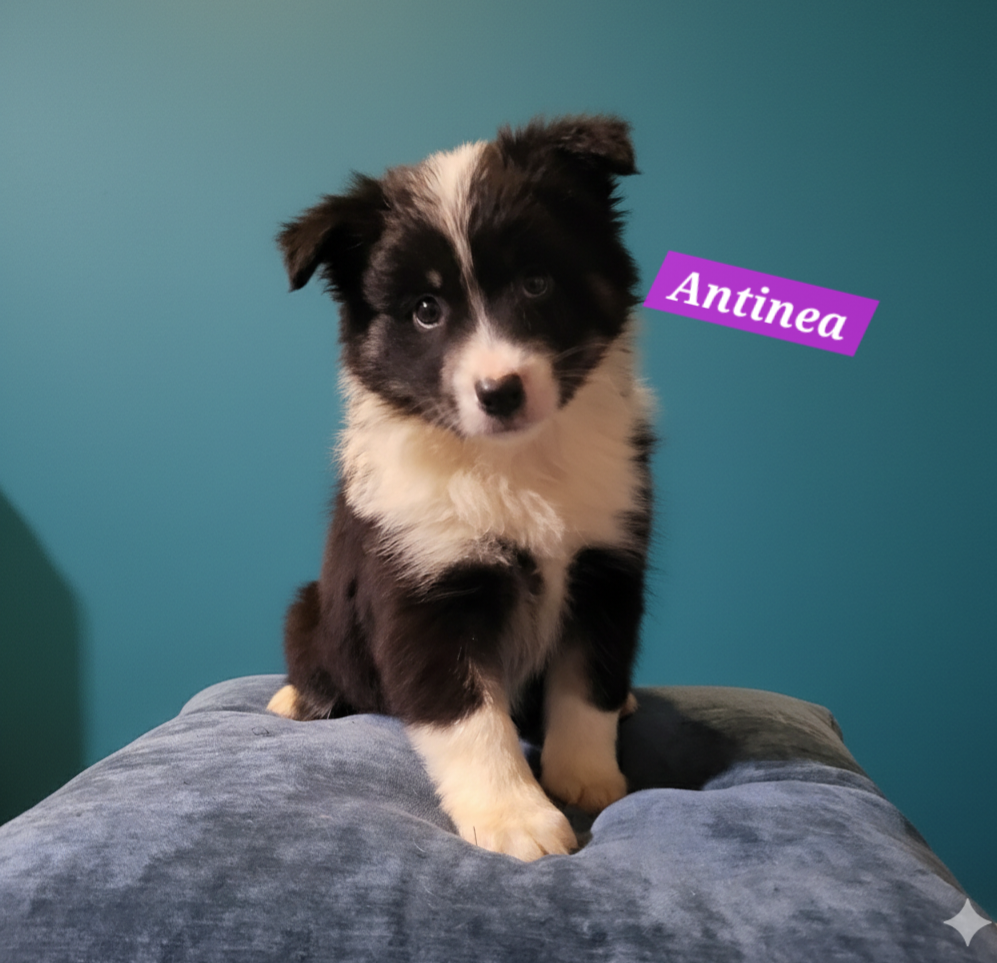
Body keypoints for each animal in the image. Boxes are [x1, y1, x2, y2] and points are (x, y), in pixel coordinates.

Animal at [267, 115, 653, 861]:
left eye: (536, 282)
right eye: (425, 309)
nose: (499, 392)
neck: (512, 460)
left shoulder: (607, 565)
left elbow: (587, 682)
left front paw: (587, 776)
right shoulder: (423, 584)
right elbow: (470, 717)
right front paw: (516, 818)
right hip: (311, 606)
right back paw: (297, 699)